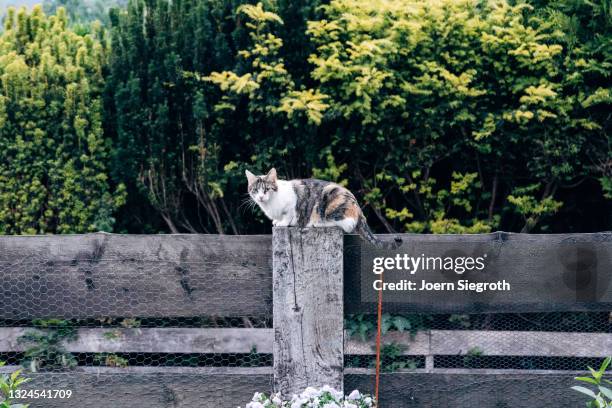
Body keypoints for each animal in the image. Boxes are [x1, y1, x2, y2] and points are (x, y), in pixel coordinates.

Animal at [245, 167, 402, 249]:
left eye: (266, 189)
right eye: (255, 190)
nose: (261, 197)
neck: (270, 204)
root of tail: (358, 210)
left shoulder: (292, 204)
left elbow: (288, 216)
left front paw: (282, 223)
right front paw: (277, 221)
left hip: (331, 201)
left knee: (345, 225)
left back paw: (317, 223)